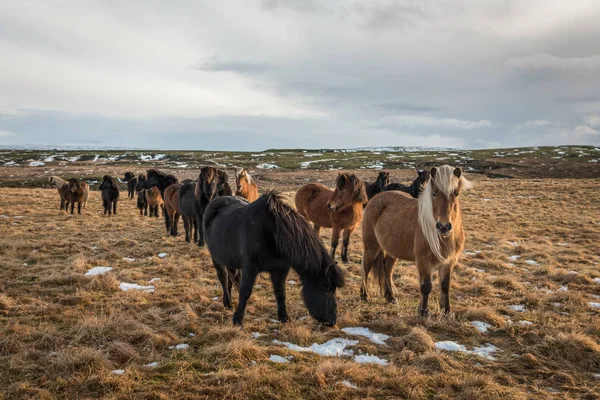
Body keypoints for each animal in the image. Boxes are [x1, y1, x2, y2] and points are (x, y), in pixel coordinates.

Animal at [204, 191, 344, 324]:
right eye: (328, 289)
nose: (332, 321)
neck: (272, 233)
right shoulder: (250, 268)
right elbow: (245, 292)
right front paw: (238, 319)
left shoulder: (280, 270)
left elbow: (280, 293)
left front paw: (284, 318)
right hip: (216, 259)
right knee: (223, 277)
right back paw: (227, 301)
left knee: (233, 277)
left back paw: (229, 303)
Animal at [360, 166, 474, 316]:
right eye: (434, 193)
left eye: (456, 193)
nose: (444, 227)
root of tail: (375, 198)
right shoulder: (423, 260)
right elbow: (426, 286)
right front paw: (423, 311)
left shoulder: (448, 261)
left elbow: (445, 286)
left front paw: (446, 311)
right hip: (371, 246)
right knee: (366, 267)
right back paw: (364, 296)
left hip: (392, 251)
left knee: (387, 269)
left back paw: (390, 297)